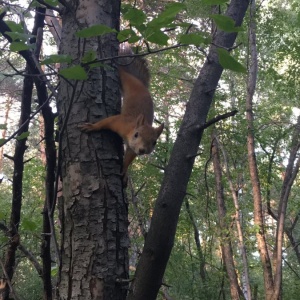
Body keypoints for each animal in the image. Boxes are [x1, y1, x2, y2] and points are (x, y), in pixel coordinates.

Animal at [79, 48, 164, 177]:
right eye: (136, 134)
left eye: (154, 142)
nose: (142, 150)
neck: (131, 130)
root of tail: (140, 83)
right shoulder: (121, 122)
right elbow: (106, 121)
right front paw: (92, 127)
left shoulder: (132, 148)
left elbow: (129, 158)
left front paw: (124, 171)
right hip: (125, 77)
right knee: (121, 72)